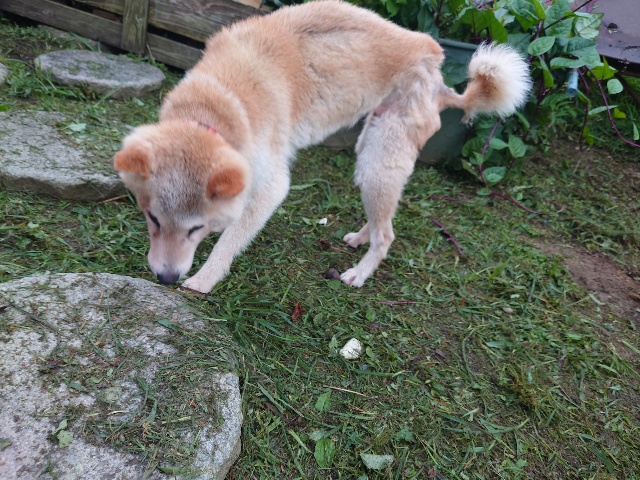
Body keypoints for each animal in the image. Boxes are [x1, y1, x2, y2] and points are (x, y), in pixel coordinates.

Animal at [114, 0, 531, 293]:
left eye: (196, 227)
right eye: (152, 218)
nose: (165, 279)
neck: (217, 102)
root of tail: (438, 70)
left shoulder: (270, 186)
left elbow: (228, 242)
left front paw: (203, 280)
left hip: (379, 161)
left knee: (388, 235)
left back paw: (359, 273)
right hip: (369, 155)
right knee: (382, 218)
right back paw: (361, 236)